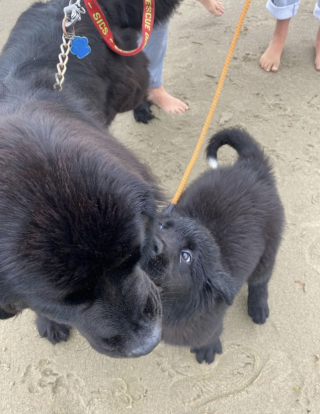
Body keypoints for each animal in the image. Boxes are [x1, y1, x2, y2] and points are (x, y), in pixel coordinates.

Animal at [0, 0, 181, 356]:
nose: (147, 343)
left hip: (128, 83)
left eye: (133, 260)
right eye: (67, 301)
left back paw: (144, 107)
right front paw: (49, 322)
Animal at [145, 129, 284, 362]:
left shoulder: (208, 325)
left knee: (260, 281)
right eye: (162, 225)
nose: (153, 243)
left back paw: (258, 308)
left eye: (186, 256)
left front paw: (207, 350)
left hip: (268, 250)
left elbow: (209, 335)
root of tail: (252, 168)